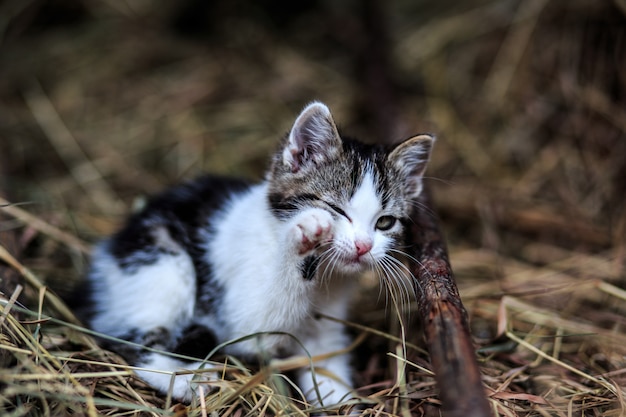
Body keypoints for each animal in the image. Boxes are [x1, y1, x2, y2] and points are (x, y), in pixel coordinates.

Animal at [75, 102, 432, 408]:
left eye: (385, 222)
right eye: (335, 209)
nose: (363, 246)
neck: (324, 281)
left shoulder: (327, 333)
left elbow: (327, 375)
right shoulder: (240, 319)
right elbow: (260, 321)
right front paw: (304, 239)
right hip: (160, 262)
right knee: (131, 341)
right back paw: (185, 380)